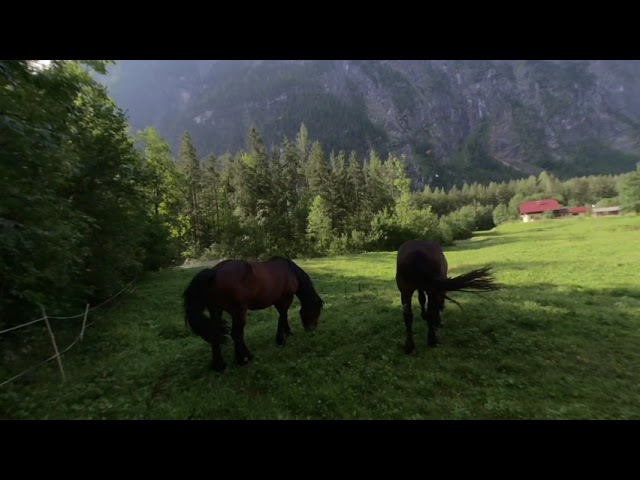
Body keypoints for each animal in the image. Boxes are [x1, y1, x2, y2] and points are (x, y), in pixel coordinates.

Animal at [184, 255, 324, 372]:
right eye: (316, 312)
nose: (312, 331)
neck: (290, 272)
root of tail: (215, 272)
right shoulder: (285, 298)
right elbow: (283, 316)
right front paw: (281, 340)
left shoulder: (278, 301)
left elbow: (283, 316)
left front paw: (287, 333)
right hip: (239, 311)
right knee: (236, 334)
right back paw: (245, 359)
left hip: (216, 311)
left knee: (215, 333)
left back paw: (219, 365)